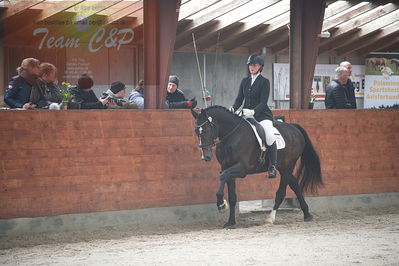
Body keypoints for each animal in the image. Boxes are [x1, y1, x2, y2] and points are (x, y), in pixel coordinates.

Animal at [191, 106, 324, 229]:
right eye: (196, 132)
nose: (205, 157)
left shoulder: (241, 168)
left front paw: (221, 204)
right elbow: (232, 196)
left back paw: (270, 219)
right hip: (283, 167)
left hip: (288, 166)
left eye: (207, 129)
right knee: (295, 185)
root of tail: (294, 127)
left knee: (281, 193)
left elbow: (223, 177)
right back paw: (307, 214)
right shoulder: (226, 167)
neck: (232, 135)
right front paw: (230, 222)